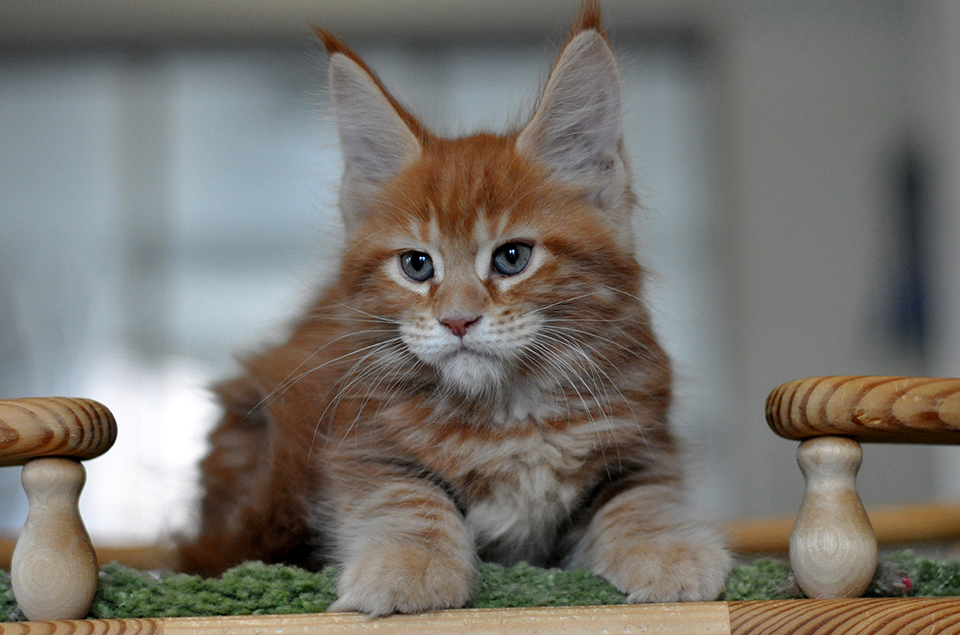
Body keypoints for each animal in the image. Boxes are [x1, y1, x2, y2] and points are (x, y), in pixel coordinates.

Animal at [176, 0, 732, 616]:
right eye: (417, 266)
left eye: (512, 257)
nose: (458, 319)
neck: (508, 416)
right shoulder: (358, 444)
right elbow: (409, 497)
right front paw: (410, 567)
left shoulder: (643, 442)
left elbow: (639, 499)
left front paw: (668, 552)